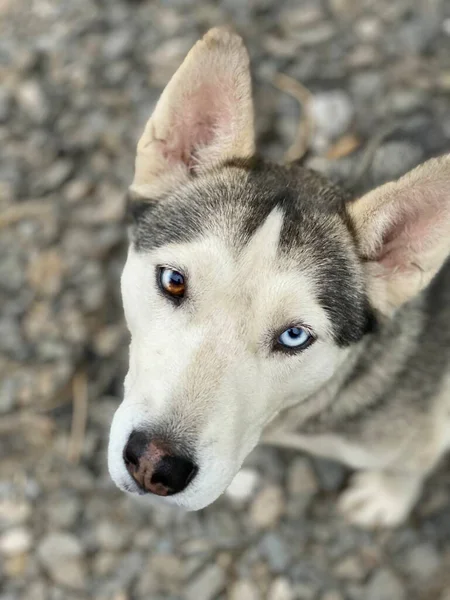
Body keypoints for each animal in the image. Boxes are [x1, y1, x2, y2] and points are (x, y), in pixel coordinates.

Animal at [108, 28, 450, 528]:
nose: (154, 465)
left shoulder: (416, 435)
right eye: (173, 281)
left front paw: (386, 497)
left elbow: (407, 465)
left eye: (294, 336)